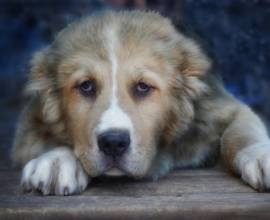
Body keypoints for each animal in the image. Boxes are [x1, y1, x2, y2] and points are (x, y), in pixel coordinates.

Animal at [11, 11, 270, 195]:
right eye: (86, 86)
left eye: (143, 87)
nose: (113, 143)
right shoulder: (28, 124)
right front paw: (56, 160)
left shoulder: (221, 109)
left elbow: (241, 134)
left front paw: (260, 154)